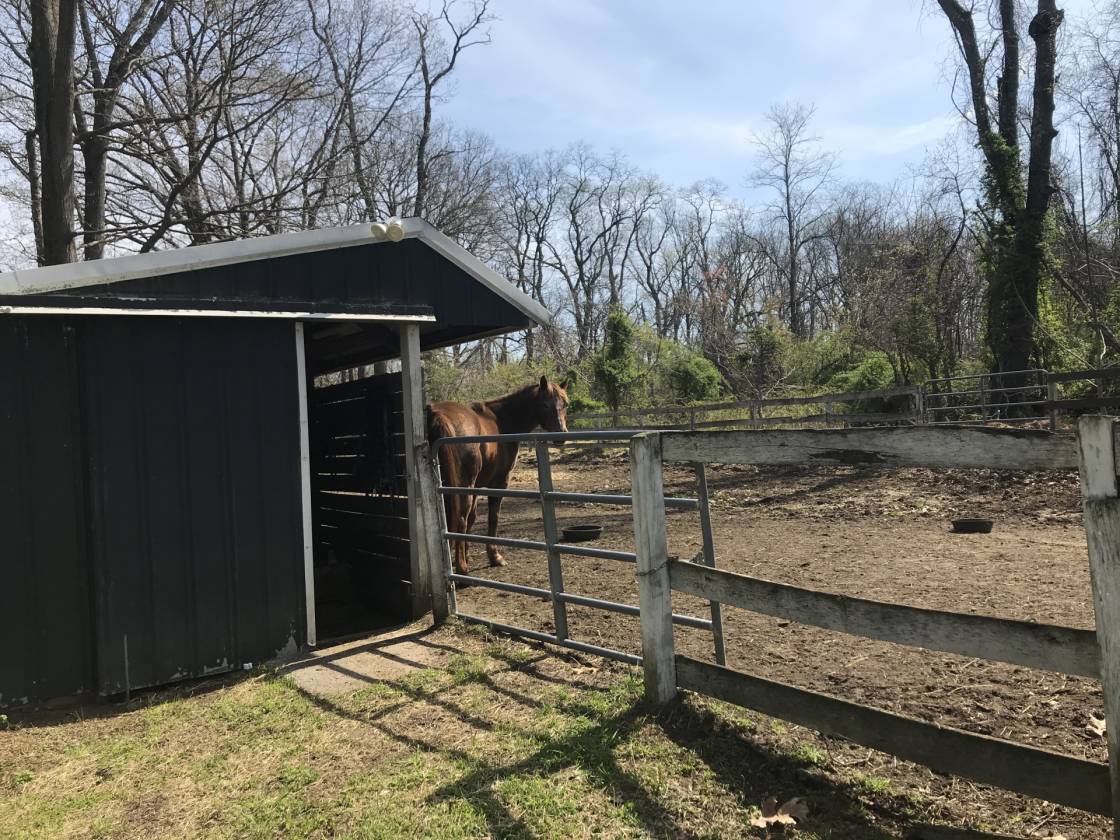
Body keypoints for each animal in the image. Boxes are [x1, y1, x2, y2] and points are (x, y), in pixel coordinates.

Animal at [427, 376, 570, 575]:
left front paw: (467, 555)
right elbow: (492, 517)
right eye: (545, 404)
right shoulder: (499, 483)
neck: (502, 421)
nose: (561, 436)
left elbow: (473, 518)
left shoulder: (477, 486)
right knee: (460, 519)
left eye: (565, 404)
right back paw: (462, 569)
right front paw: (494, 557)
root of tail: (438, 415)